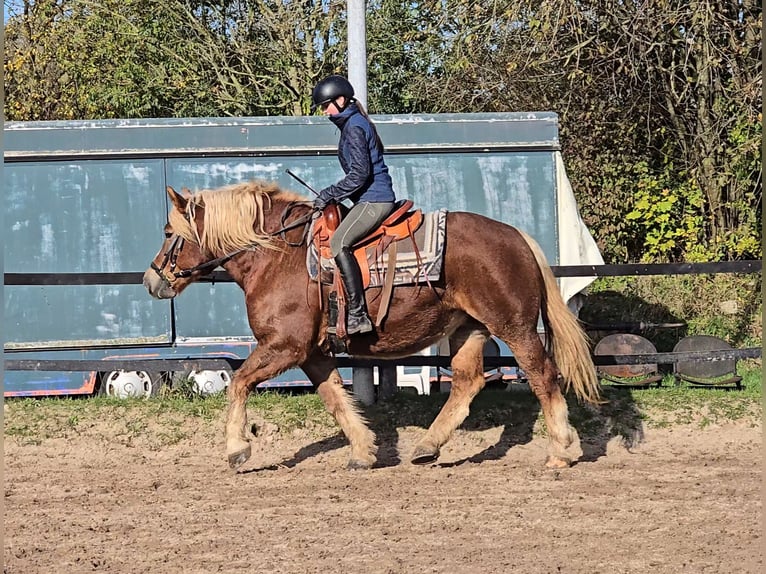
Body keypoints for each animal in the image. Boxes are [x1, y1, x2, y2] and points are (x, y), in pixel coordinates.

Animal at [142, 181, 600, 472]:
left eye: (167, 232)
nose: (151, 280)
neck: (277, 257)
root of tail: (517, 237)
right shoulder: (313, 353)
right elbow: (335, 399)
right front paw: (363, 451)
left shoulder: (285, 346)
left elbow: (238, 384)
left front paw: (237, 449)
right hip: (468, 328)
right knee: (467, 383)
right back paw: (428, 446)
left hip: (514, 327)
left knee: (543, 376)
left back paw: (560, 451)